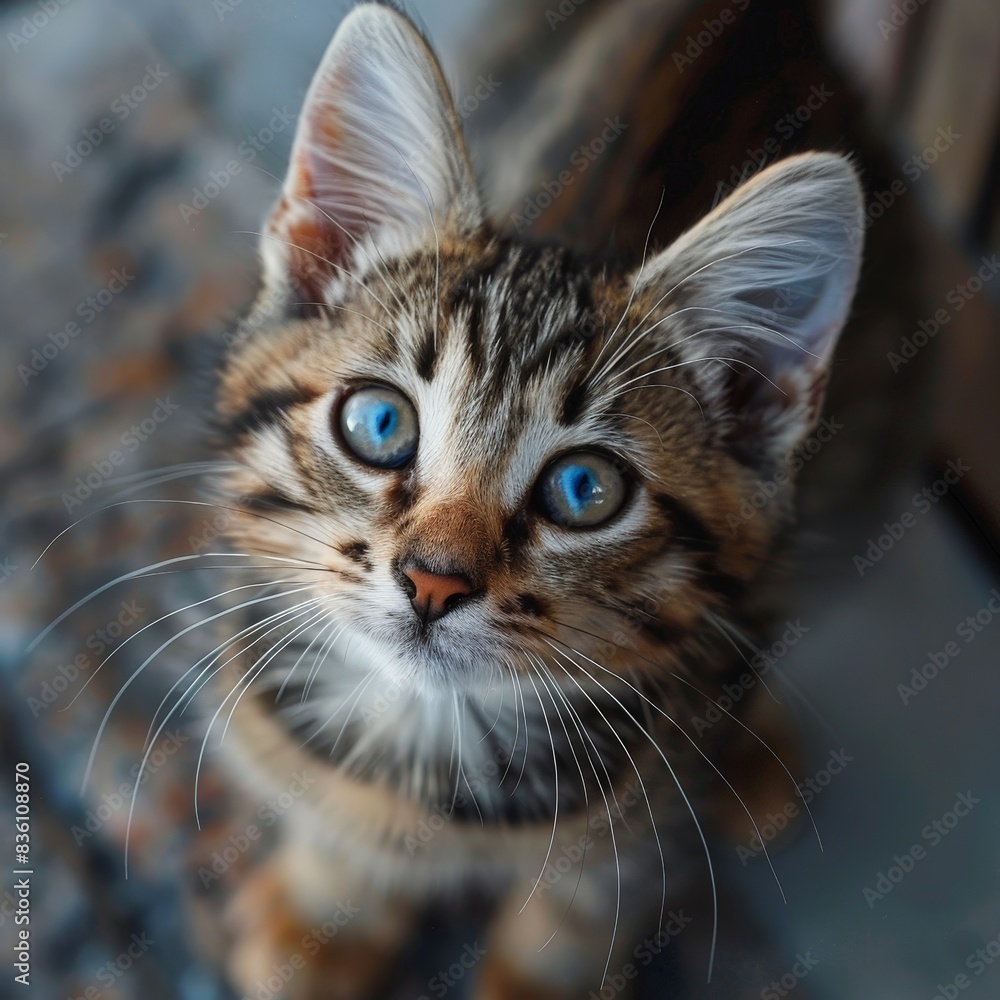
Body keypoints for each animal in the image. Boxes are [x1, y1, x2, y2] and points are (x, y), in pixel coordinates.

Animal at [213, 3, 868, 996]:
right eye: (379, 423)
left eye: (583, 489)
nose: (433, 582)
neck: (429, 748)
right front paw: (329, 909)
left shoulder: (638, 832)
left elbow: (582, 908)